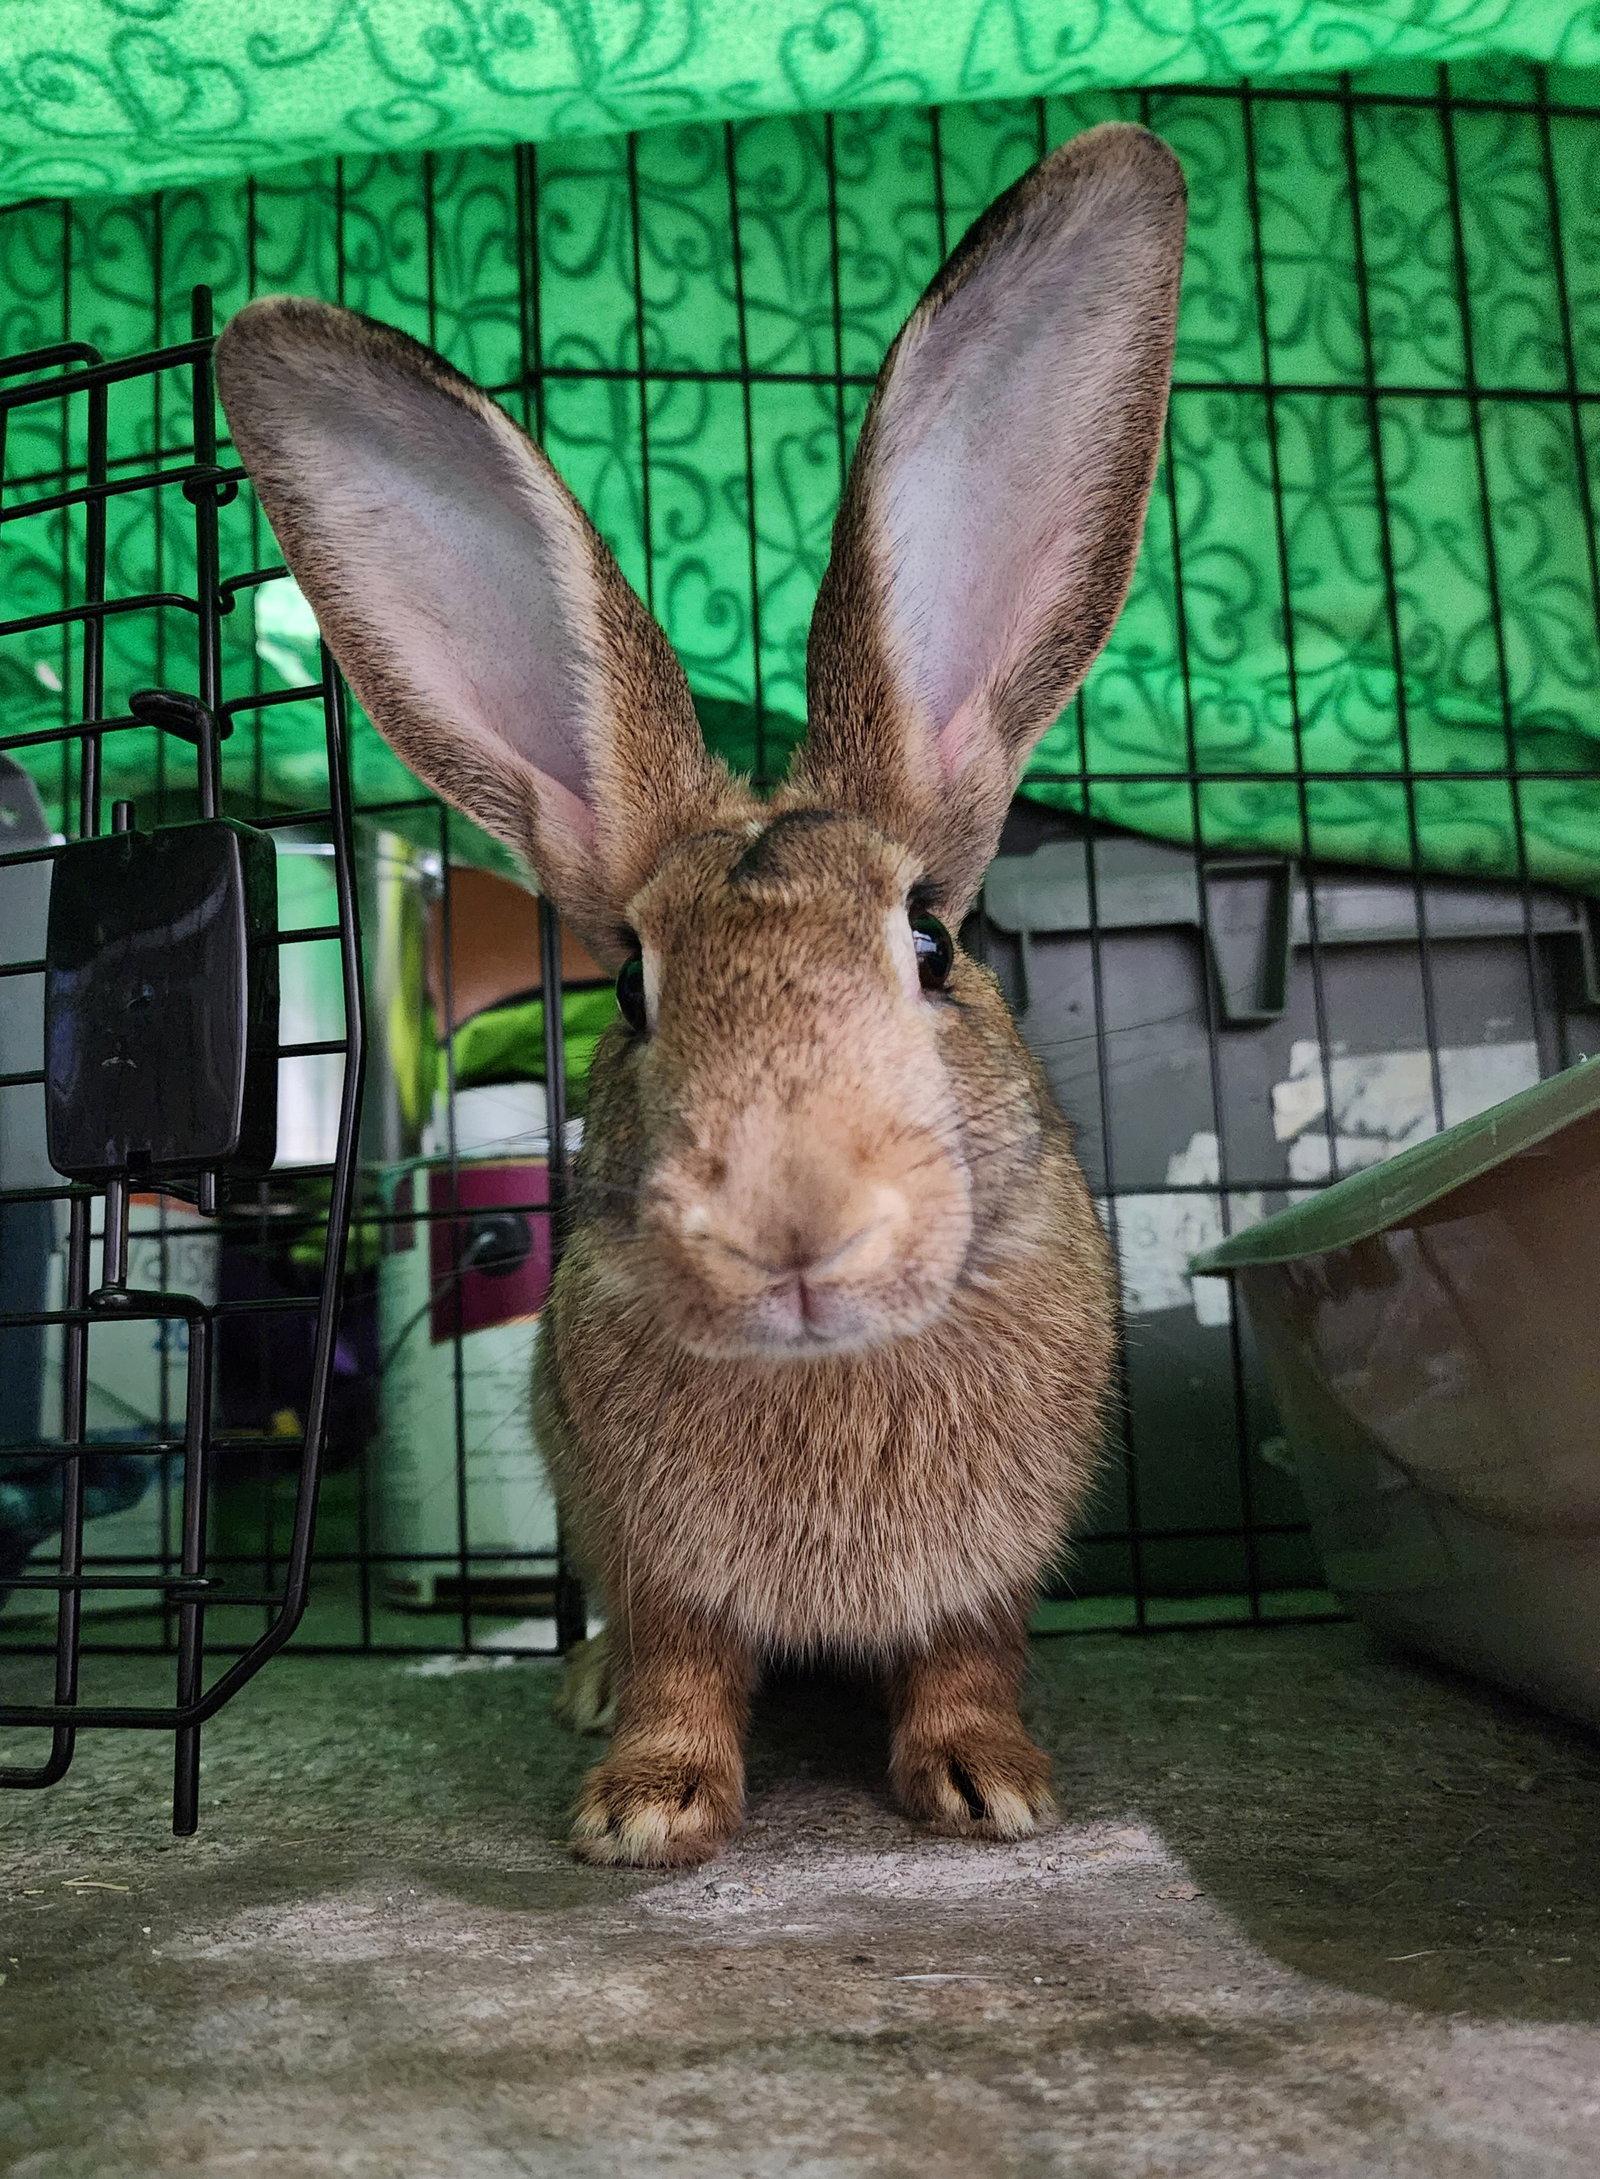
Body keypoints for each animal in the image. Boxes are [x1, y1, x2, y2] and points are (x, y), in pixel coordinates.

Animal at [215, 120, 1186, 1868]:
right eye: (629, 987)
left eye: (931, 945)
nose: (792, 1222)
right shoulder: (652, 1554)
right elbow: (679, 1657)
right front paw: (644, 1806)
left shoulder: (992, 1573)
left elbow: (966, 1655)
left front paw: (992, 1785)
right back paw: (585, 1688)